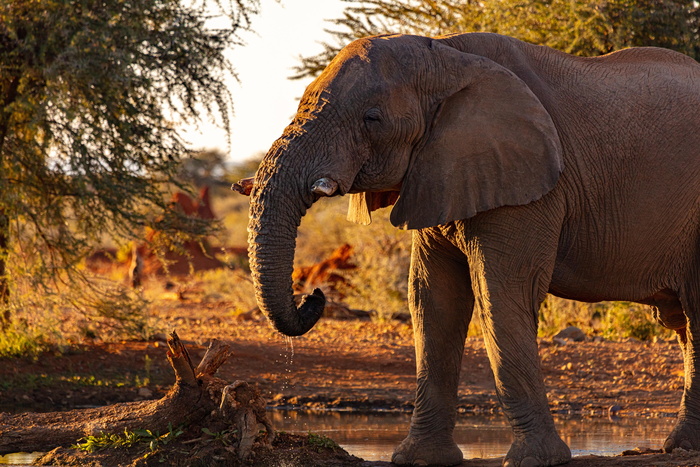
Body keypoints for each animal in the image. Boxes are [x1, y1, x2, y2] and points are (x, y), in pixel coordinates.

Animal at [243, 31, 700, 466]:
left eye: (372, 119)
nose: (314, 295)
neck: (445, 55)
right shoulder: (442, 170)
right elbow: (432, 298)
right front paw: (419, 459)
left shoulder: (525, 183)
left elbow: (500, 293)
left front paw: (536, 460)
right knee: (682, 323)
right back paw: (681, 446)